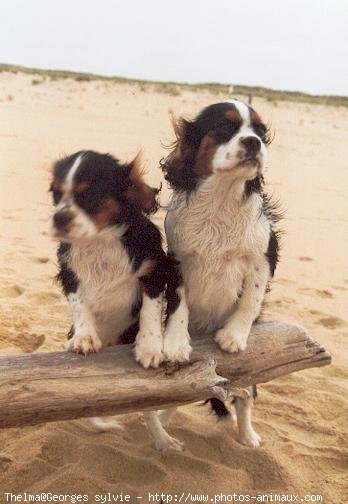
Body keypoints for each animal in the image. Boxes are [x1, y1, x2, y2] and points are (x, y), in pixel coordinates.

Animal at [160, 100, 280, 446]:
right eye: (225, 128)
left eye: (260, 132)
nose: (253, 142)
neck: (222, 197)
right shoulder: (177, 260)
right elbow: (179, 303)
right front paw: (175, 342)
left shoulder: (263, 256)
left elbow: (251, 299)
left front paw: (233, 336)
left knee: (245, 398)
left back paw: (248, 437)